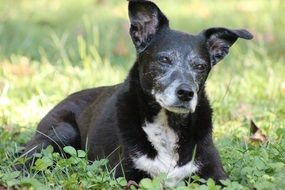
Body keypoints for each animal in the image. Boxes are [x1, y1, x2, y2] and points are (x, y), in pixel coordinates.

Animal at [20, 0, 252, 187]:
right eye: (164, 59)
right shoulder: (125, 174)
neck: (168, 125)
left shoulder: (216, 174)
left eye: (201, 66)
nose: (186, 93)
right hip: (61, 132)